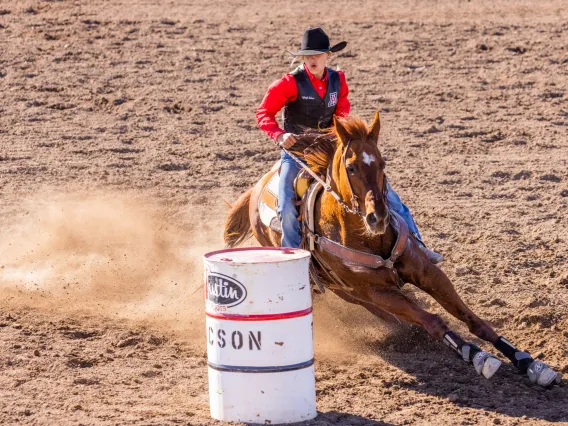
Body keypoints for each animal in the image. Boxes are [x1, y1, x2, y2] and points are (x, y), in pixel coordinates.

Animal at [224, 112, 560, 386]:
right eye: (351, 167)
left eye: (382, 162)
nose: (379, 217)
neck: (367, 237)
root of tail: (256, 190)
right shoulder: (377, 290)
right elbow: (433, 320)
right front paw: (474, 354)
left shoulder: (426, 271)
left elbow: (472, 318)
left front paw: (530, 363)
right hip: (344, 288)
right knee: (375, 308)